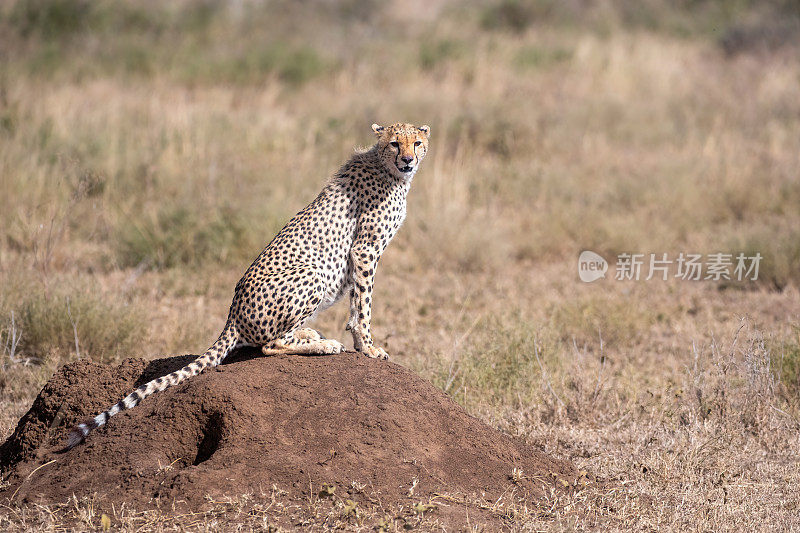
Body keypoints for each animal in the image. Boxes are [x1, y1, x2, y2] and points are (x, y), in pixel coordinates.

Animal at [66, 121, 432, 448]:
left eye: (416, 143)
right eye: (395, 144)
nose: (408, 160)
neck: (388, 171)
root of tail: (232, 315)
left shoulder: (363, 254)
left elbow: (358, 304)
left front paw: (362, 343)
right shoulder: (364, 250)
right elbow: (364, 306)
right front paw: (368, 347)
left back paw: (309, 334)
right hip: (312, 272)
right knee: (269, 345)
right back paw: (322, 345)